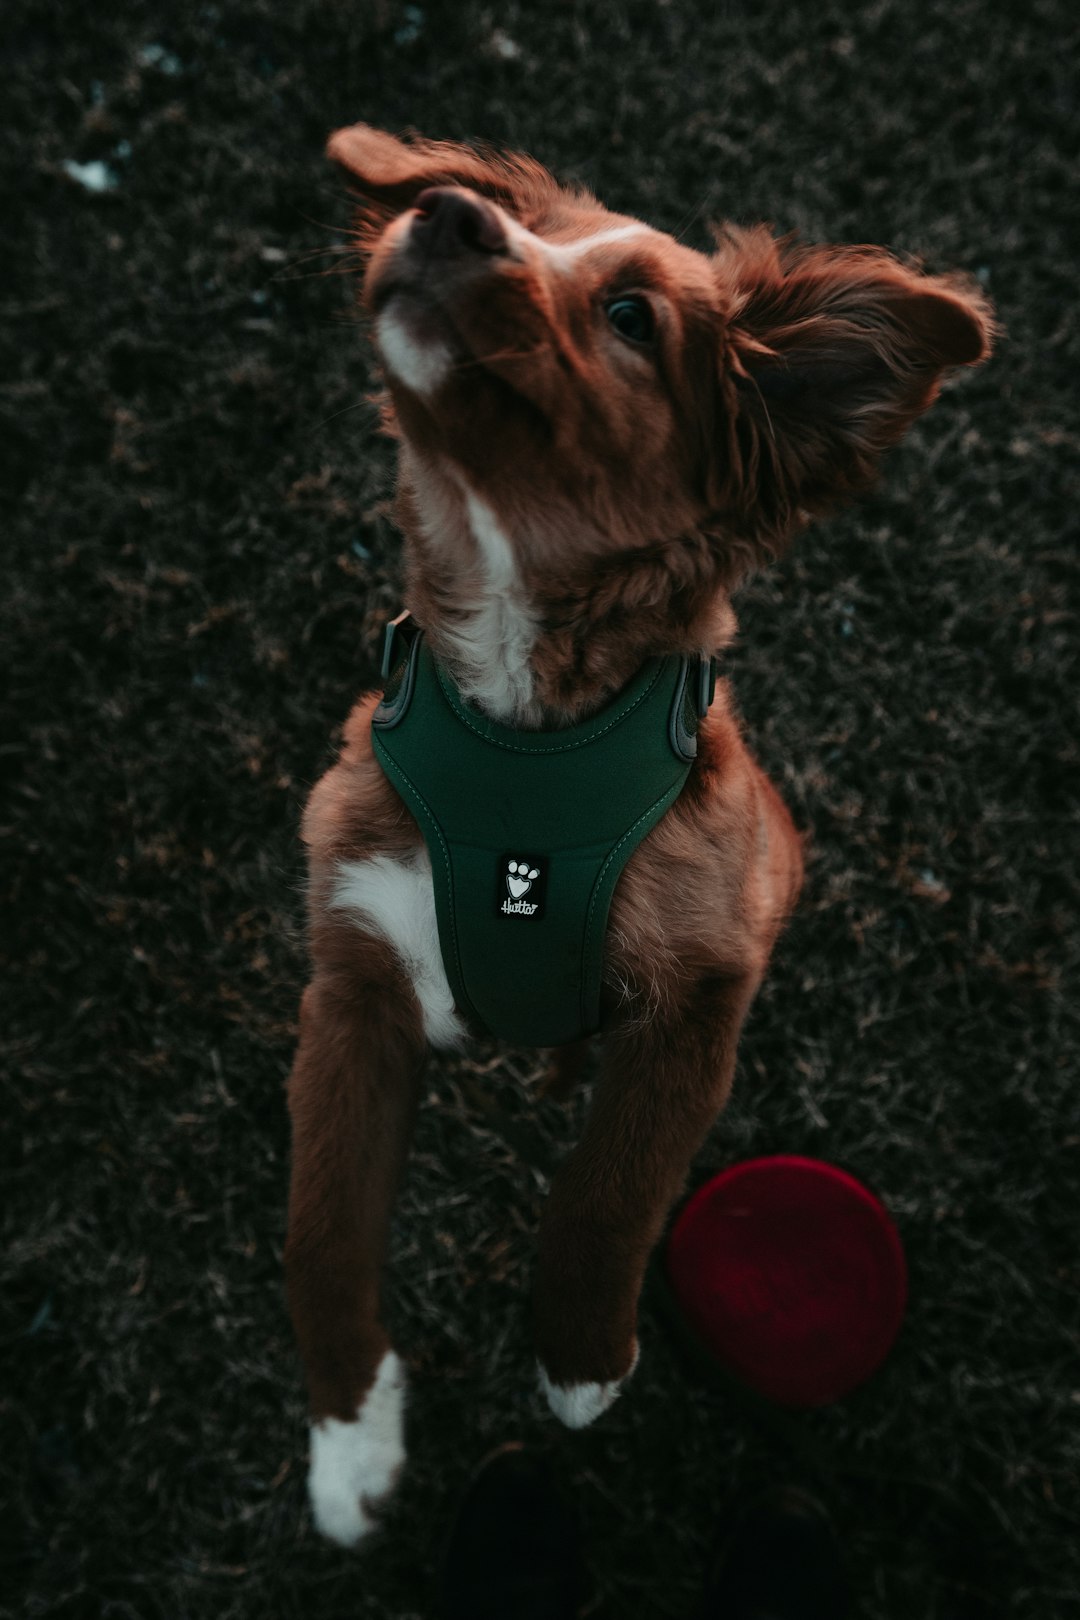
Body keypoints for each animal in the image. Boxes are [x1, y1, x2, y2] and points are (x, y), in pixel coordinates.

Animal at [283, 123, 990, 1542]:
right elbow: (326, 1235)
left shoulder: (701, 996)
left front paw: (580, 1365)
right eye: (508, 221)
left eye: (629, 317)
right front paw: (349, 1451)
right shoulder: (354, 981)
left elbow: (607, 1197)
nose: (446, 216)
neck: (523, 724)